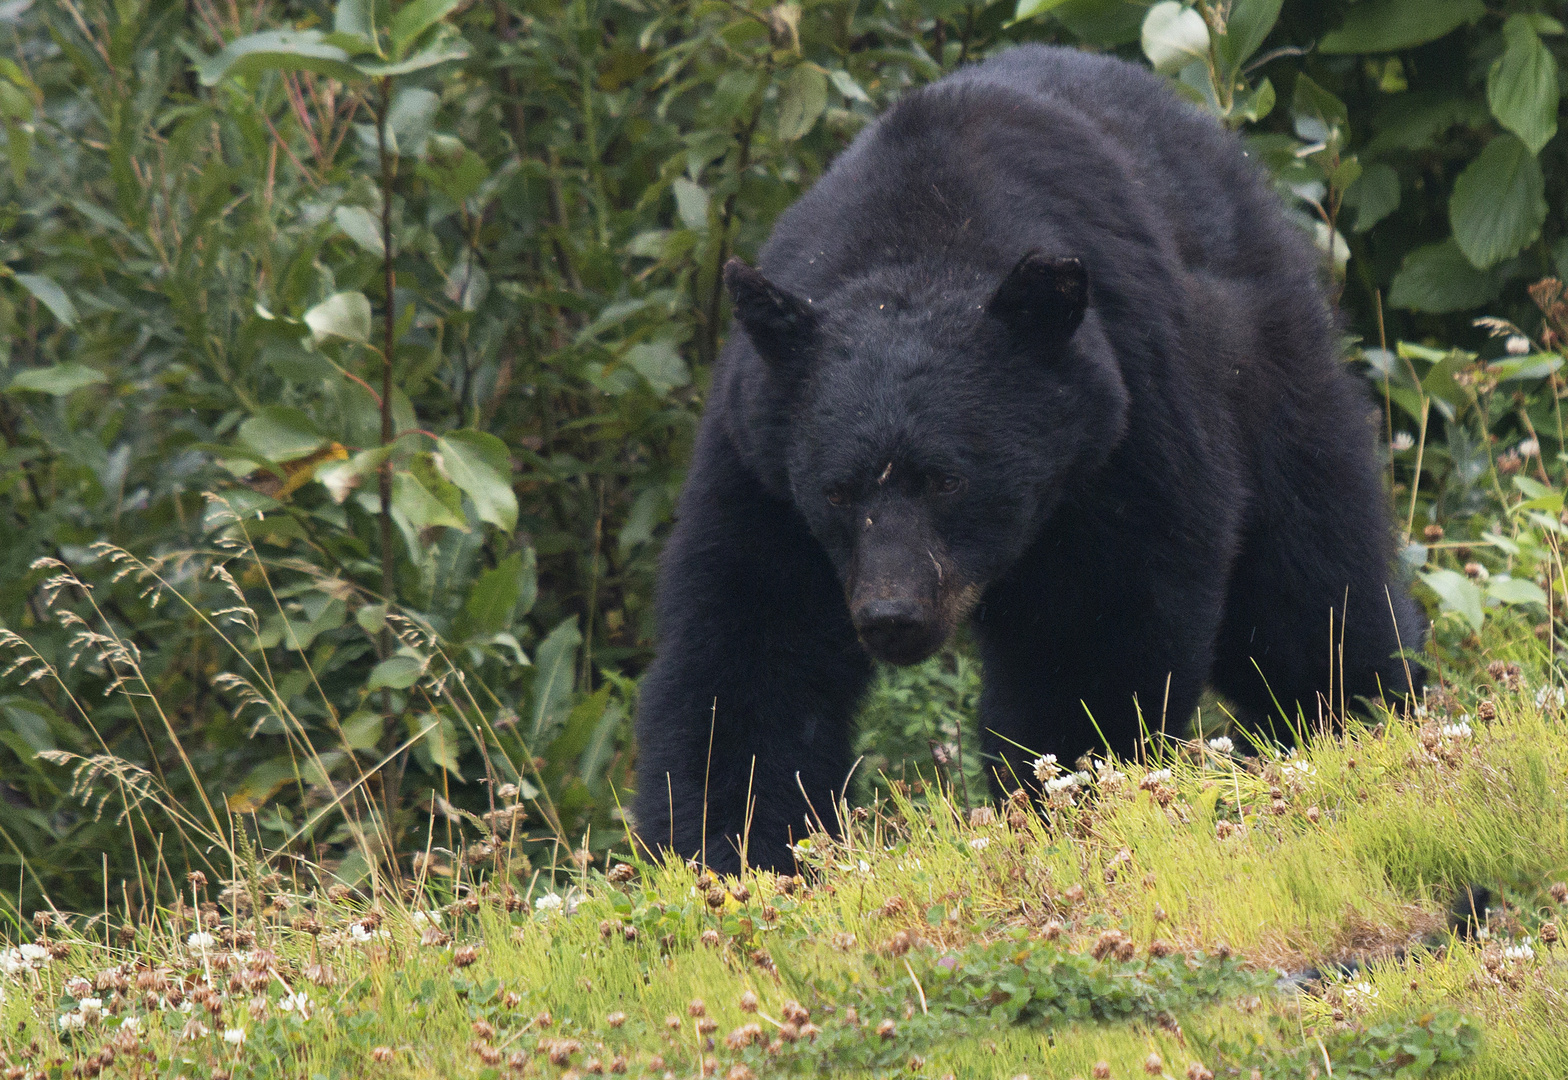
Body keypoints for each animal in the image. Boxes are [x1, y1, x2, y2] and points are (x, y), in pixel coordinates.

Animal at [630, 46, 1430, 871]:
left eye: (948, 479)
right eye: (838, 491)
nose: (891, 616)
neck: (919, 239)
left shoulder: (1124, 429)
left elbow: (1095, 622)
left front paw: (1070, 788)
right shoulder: (760, 461)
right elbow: (750, 639)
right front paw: (725, 846)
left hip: (1266, 366)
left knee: (1307, 578)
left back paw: (1366, 710)